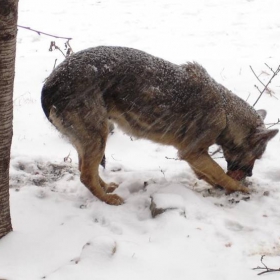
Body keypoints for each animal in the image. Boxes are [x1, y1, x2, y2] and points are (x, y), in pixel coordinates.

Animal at [41, 44, 278, 205]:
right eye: (257, 157)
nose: (250, 176)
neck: (225, 110)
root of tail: (50, 83)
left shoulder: (193, 155)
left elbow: (208, 174)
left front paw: (226, 187)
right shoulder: (193, 152)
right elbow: (219, 171)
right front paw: (239, 188)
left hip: (91, 139)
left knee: (84, 169)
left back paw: (106, 187)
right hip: (98, 136)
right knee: (85, 175)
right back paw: (108, 199)